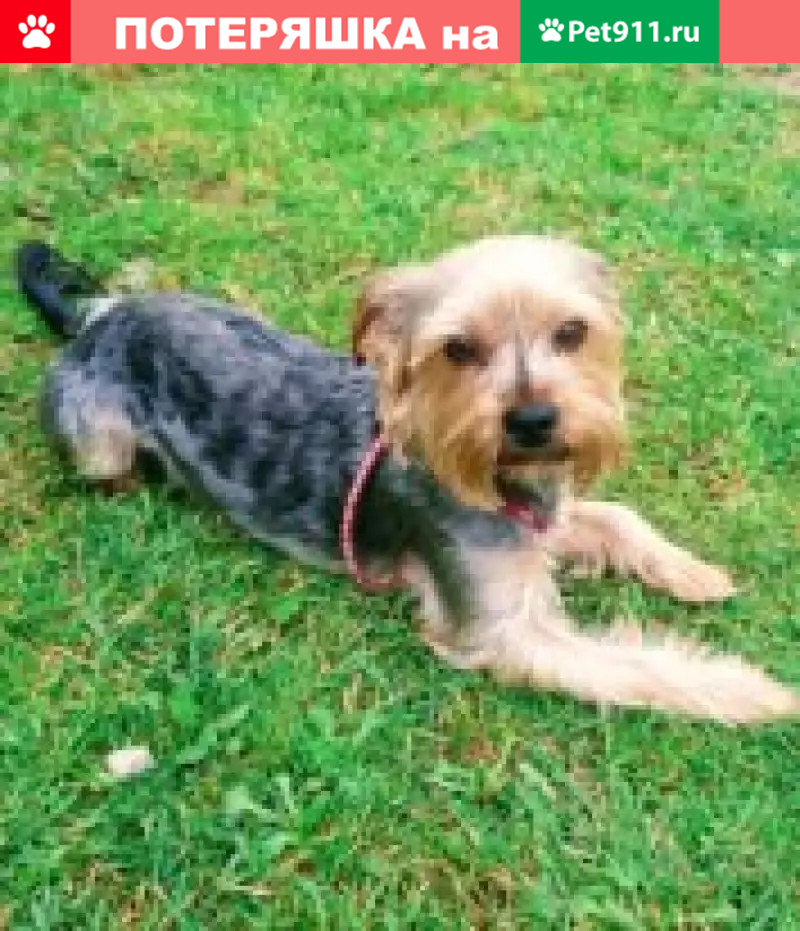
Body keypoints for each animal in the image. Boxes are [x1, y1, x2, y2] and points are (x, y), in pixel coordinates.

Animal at [15, 237, 798, 724]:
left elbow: (618, 517)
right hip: (97, 436)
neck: (496, 476)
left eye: (573, 333)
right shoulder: (500, 624)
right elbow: (636, 666)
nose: (534, 420)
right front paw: (752, 690)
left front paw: (695, 573)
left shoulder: (540, 517)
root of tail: (95, 320)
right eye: (458, 349)